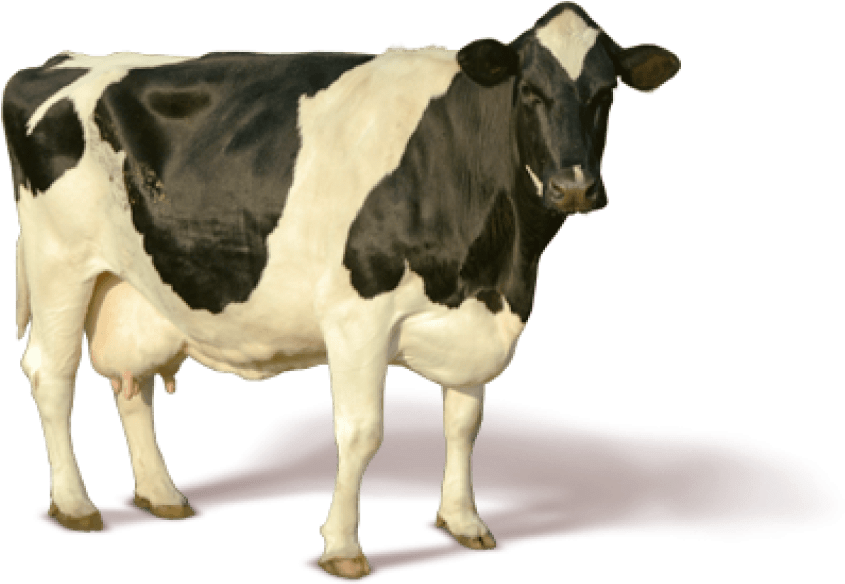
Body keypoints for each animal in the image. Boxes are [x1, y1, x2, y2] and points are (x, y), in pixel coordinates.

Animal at [6, 2, 678, 578]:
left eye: (605, 93)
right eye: (531, 92)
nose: (573, 186)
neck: (500, 265)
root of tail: (62, 63)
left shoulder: (472, 316)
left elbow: (463, 423)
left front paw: (463, 522)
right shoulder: (358, 316)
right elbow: (360, 432)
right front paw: (343, 547)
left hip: (133, 285)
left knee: (132, 382)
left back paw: (161, 494)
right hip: (60, 261)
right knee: (52, 372)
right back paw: (74, 504)